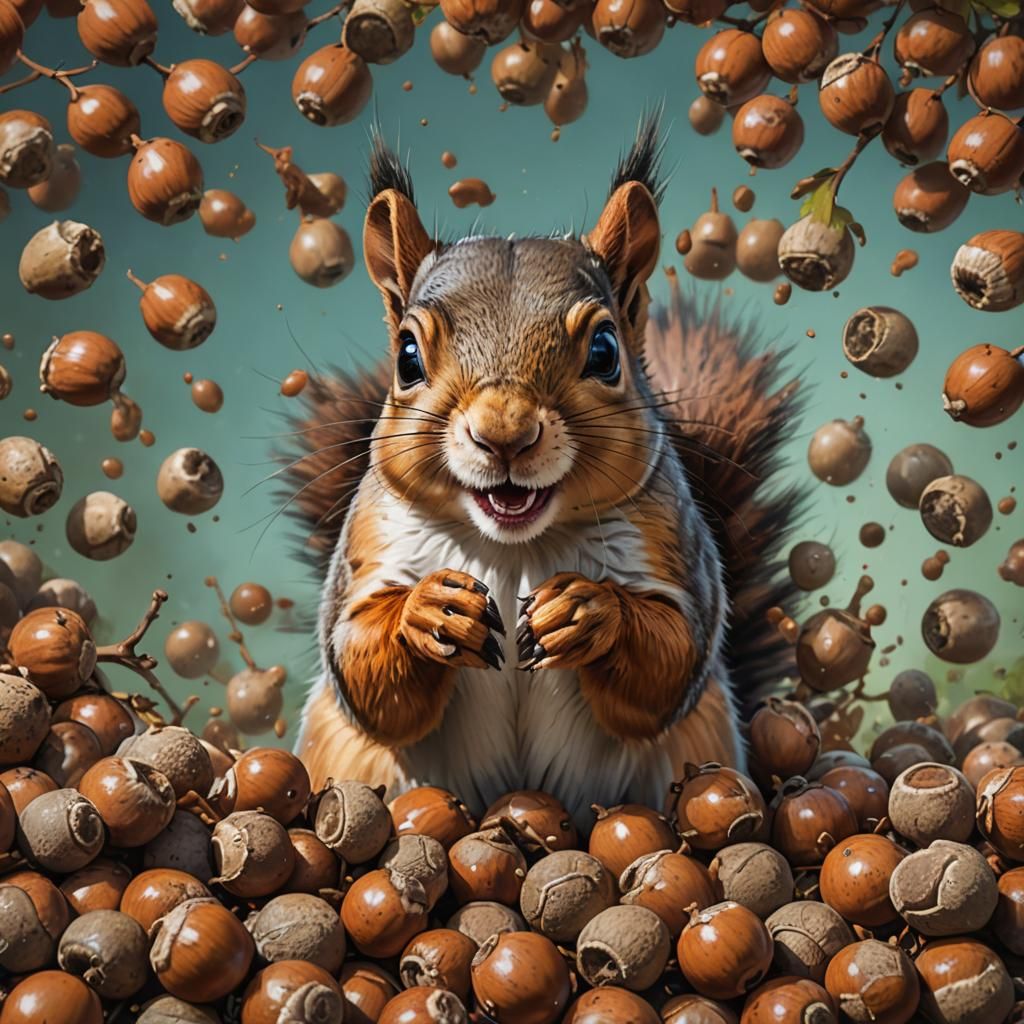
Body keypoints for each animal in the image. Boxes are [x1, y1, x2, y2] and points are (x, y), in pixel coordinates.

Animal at [287, 115, 805, 825]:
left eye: (606, 349)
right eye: (407, 357)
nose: (504, 433)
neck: (513, 548)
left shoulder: (676, 546)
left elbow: (672, 661)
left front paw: (589, 610)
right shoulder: (367, 550)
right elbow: (362, 670)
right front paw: (428, 612)